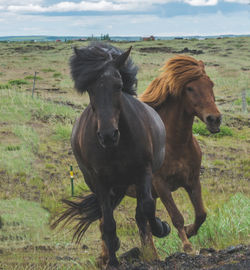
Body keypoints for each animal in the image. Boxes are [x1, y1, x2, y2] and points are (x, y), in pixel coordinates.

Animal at [127, 55, 221, 255]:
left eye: (211, 84)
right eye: (190, 88)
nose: (215, 119)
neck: (176, 144)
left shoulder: (193, 180)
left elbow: (201, 213)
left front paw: (190, 231)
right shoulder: (161, 185)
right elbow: (176, 216)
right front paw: (187, 246)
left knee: (142, 220)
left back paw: (151, 255)